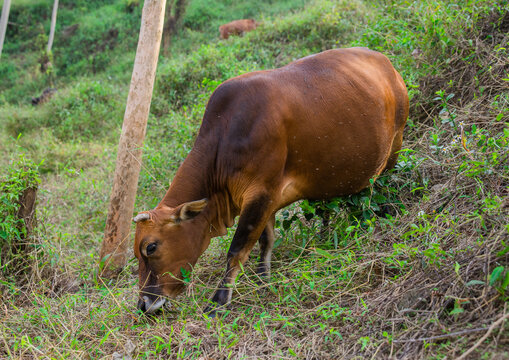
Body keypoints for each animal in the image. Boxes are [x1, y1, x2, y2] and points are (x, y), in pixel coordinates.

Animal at [133, 48, 406, 316]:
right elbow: (266, 240)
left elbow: (237, 249)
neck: (224, 140)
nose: (144, 305)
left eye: (150, 247)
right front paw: (262, 279)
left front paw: (218, 302)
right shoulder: (264, 200)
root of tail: (386, 63)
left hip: (395, 145)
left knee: (385, 185)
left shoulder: (261, 193)